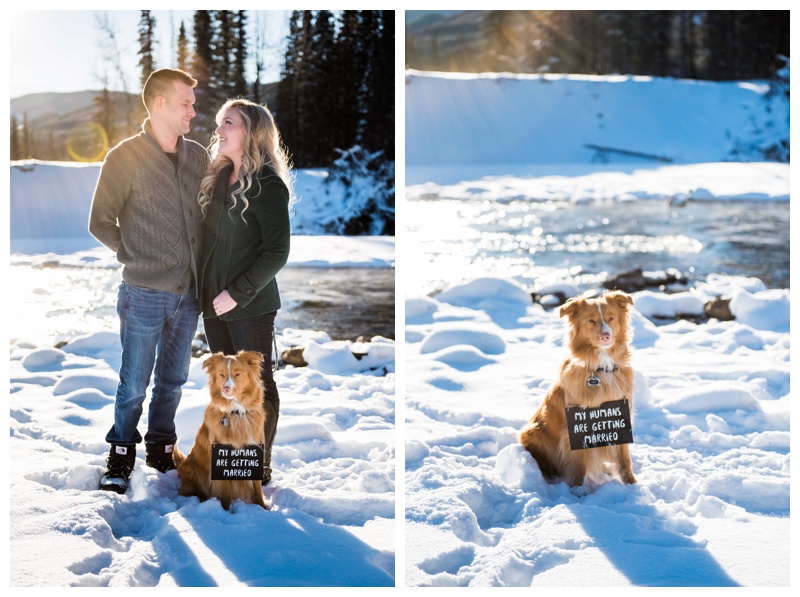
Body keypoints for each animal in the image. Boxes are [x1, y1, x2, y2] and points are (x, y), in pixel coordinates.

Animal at [173, 352, 268, 510]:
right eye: (221, 374)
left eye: (237, 374)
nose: (225, 389)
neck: (236, 412)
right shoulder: (220, 458)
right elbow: (225, 489)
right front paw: (225, 510)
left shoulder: (255, 453)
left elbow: (258, 486)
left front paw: (262, 507)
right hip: (192, 470)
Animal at [520, 290, 636, 488]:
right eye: (591, 320)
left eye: (611, 318)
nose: (606, 336)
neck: (602, 367)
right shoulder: (574, 430)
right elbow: (579, 463)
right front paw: (578, 490)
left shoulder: (620, 418)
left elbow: (624, 460)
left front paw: (632, 486)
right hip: (534, 433)